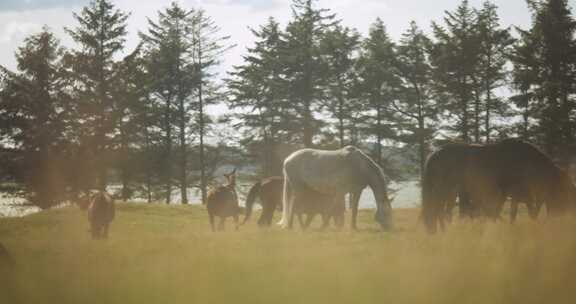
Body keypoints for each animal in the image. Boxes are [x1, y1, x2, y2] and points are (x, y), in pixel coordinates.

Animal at [424, 140, 576, 233]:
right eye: (567, 195)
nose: (564, 219)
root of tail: (433, 155)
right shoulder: (517, 194)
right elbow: (514, 214)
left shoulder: (522, 196)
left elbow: (530, 213)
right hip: (443, 191)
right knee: (438, 212)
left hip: (448, 193)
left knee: (441, 213)